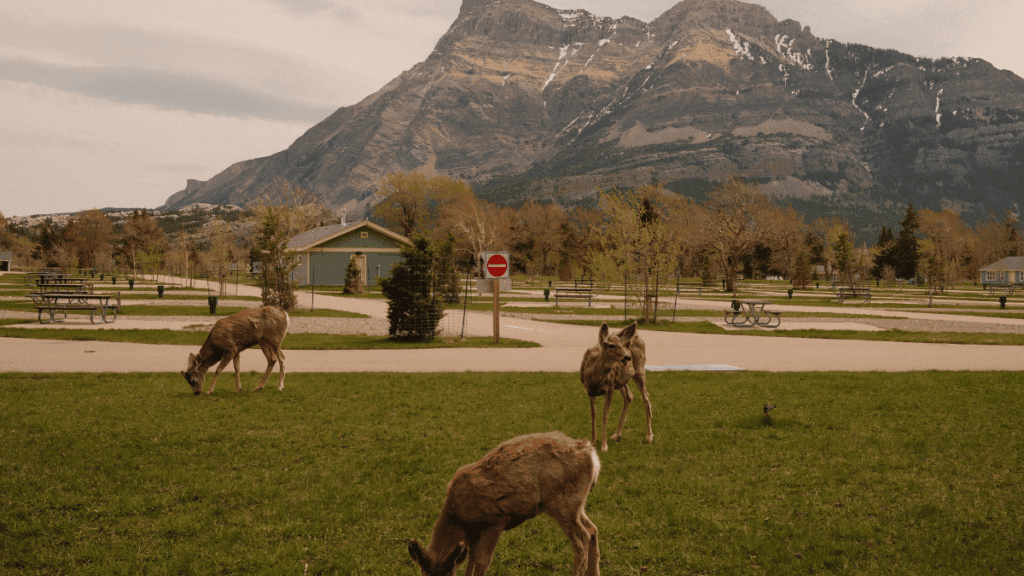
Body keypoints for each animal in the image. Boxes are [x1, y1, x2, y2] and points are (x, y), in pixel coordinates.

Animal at [407, 431, 601, 576]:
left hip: (562, 503)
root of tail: (592, 455)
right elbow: (471, 559)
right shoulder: (474, 533)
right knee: (593, 529)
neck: (458, 516)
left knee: (582, 538)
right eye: (423, 575)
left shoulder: (496, 520)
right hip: (576, 504)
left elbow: (482, 562)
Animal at [579, 321, 652, 452]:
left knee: (646, 398)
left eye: (622, 345)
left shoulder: (610, 387)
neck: (593, 379)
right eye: (611, 345)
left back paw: (649, 436)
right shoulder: (589, 391)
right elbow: (593, 414)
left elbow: (605, 415)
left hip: (639, 369)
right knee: (629, 396)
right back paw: (617, 435)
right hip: (621, 380)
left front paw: (604, 446)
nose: (628, 357)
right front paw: (592, 441)